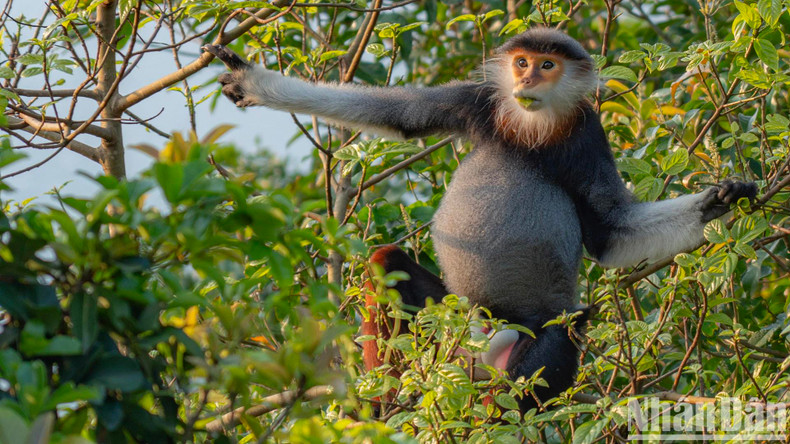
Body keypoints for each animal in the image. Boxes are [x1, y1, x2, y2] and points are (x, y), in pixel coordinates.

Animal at [203, 28, 757, 412]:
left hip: (517, 338)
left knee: (561, 334)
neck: (534, 126)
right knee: (386, 259)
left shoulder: (587, 133)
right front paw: (255, 82)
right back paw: (384, 402)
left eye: (547, 65)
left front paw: (720, 200)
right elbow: (397, 117)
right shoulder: (480, 103)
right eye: (521, 62)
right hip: (448, 318)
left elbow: (611, 234)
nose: (526, 79)